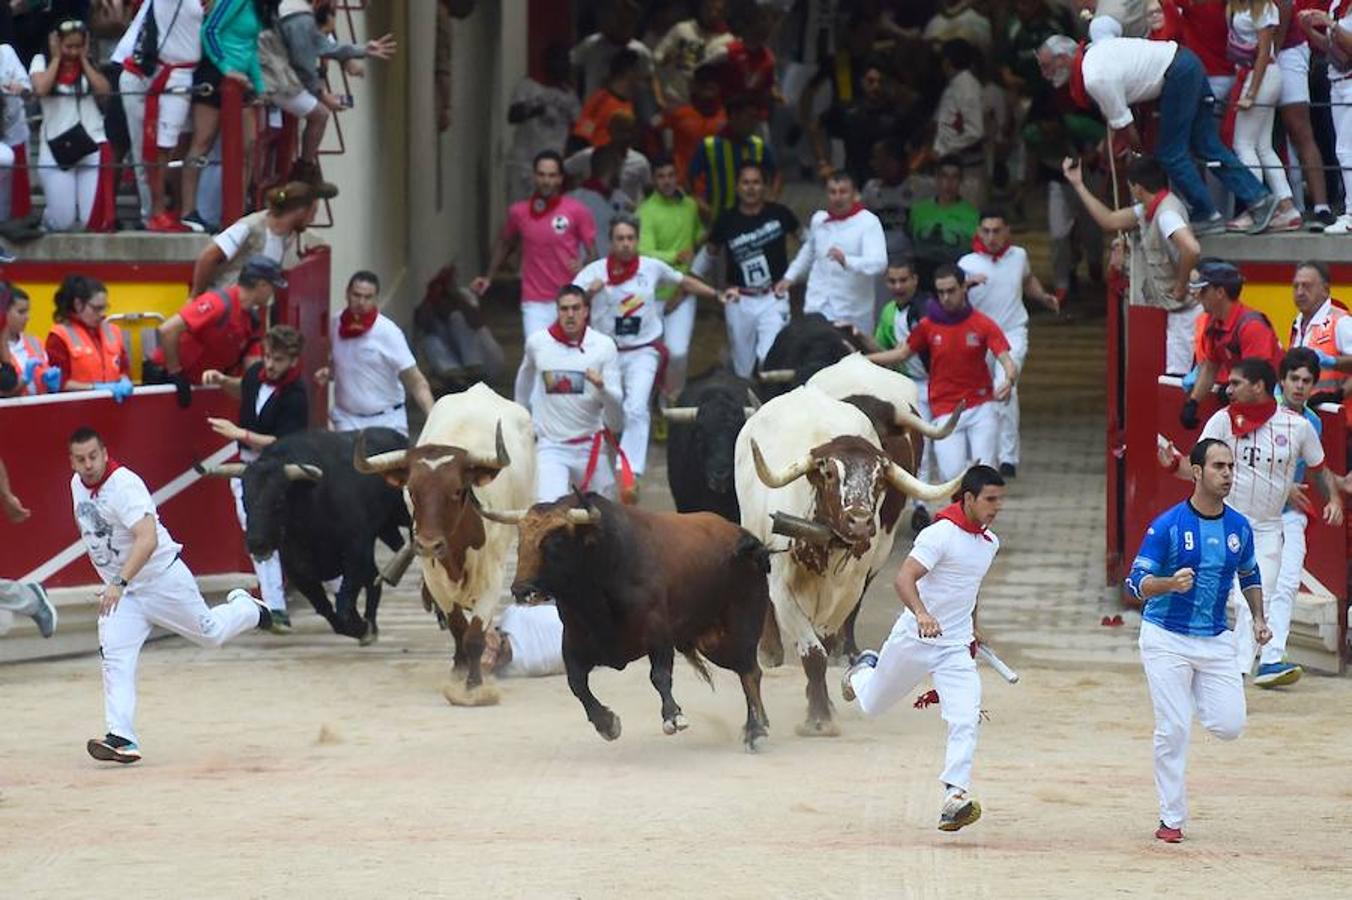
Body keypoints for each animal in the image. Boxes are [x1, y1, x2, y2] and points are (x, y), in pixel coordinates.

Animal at [196, 427, 405, 637]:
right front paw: (361, 628)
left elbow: (345, 602)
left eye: (279, 500)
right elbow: (327, 609)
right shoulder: (299, 572)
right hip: (387, 529)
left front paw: (361, 628)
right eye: (243, 499)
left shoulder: (356, 552)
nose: (257, 543)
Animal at [478, 491, 773, 751]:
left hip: (737, 629)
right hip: (709, 639)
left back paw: (756, 730)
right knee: (746, 671)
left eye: (555, 542)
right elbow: (577, 684)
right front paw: (606, 723)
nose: (521, 590)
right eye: (521, 541)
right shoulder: (573, 642)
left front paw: (673, 716)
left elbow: (659, 676)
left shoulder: (658, 634)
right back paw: (757, 727)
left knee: (750, 672)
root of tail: (747, 539)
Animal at [730, 381, 962, 735]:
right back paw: (770, 652)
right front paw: (819, 718)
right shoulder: (782, 589)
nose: (861, 521)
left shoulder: (849, 589)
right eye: (828, 473)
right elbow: (813, 652)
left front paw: (821, 704)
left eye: (878, 478)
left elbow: (824, 645)